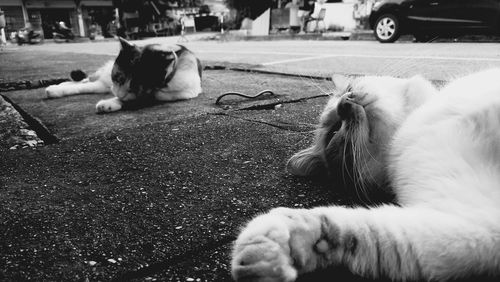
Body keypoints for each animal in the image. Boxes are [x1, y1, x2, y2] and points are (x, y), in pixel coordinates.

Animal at [46, 37, 202, 113]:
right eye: (117, 78)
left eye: (133, 88)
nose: (117, 94)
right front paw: (113, 101)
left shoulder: (175, 94)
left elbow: (135, 101)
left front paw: (109, 103)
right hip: (103, 79)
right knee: (85, 82)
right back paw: (55, 88)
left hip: (101, 85)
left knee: (87, 85)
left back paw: (55, 90)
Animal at [230, 69, 500, 280]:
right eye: (334, 131)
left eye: (349, 89)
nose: (345, 102)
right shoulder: (475, 225)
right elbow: (356, 229)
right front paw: (268, 247)